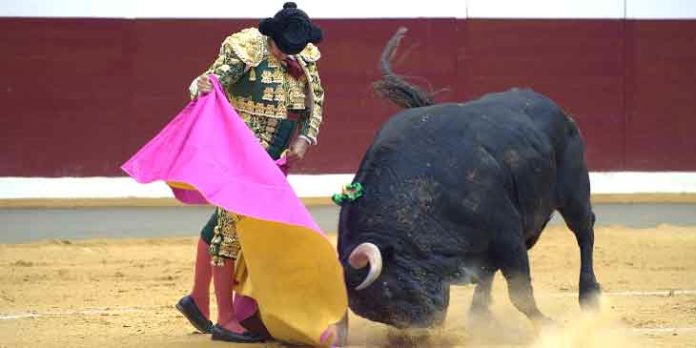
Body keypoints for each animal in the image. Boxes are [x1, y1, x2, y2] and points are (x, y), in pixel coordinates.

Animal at [334, 29, 600, 328]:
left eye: (390, 289)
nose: (427, 324)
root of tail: (557, 110)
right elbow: (491, 273)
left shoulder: (507, 232)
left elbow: (519, 292)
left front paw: (548, 325)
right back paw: (479, 313)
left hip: (574, 193)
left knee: (584, 231)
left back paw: (589, 296)